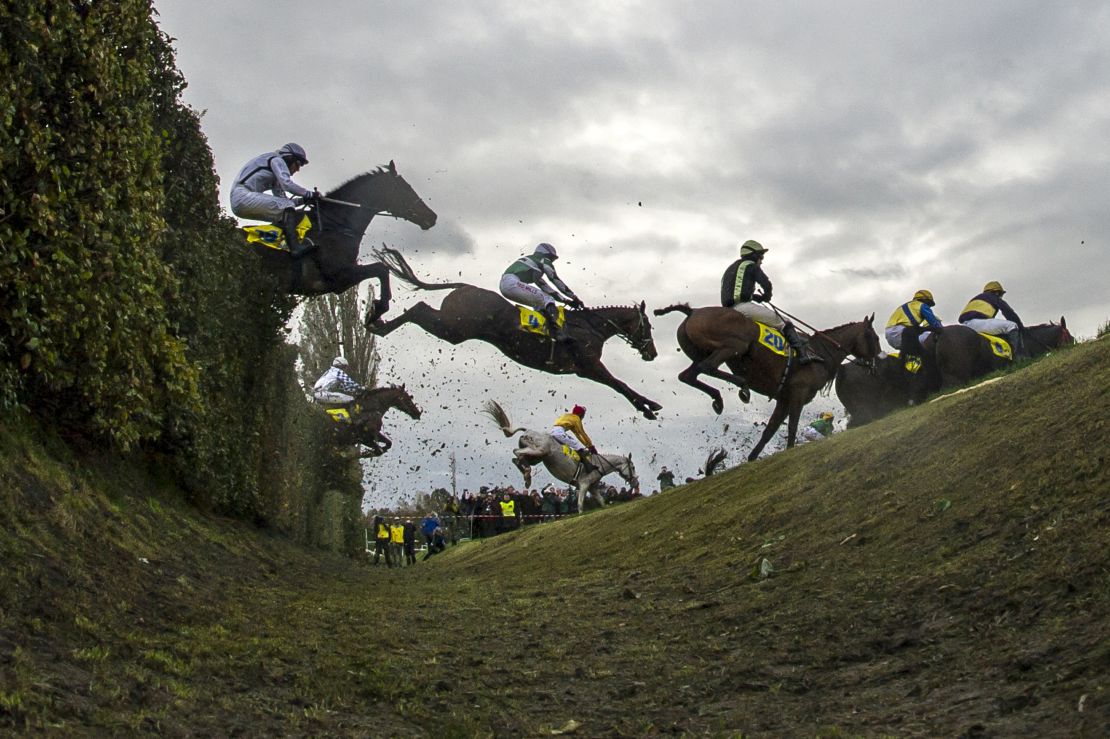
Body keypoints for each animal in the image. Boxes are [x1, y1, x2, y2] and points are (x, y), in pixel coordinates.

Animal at [245, 163, 435, 315]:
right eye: (406, 189)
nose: (432, 216)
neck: (335, 225)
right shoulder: (339, 275)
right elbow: (381, 268)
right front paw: (378, 309)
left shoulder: (341, 281)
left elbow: (381, 269)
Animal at [368, 247, 661, 417]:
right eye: (647, 326)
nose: (653, 353)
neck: (590, 326)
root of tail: (465, 287)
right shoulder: (589, 365)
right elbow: (620, 384)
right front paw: (649, 406)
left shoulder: (585, 370)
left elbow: (619, 385)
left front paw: (648, 406)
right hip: (455, 328)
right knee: (418, 309)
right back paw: (376, 320)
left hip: (452, 328)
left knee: (419, 309)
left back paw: (376, 322)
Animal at [481, 397, 639, 512]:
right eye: (633, 467)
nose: (636, 482)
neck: (598, 464)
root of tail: (528, 431)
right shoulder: (584, 484)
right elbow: (580, 505)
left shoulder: (592, 488)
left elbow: (602, 502)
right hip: (539, 450)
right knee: (517, 452)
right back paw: (526, 473)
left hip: (537, 457)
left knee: (518, 458)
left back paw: (526, 475)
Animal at [652, 301, 879, 457]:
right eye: (875, 338)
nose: (878, 360)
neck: (821, 352)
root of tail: (693, 311)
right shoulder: (797, 394)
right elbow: (792, 426)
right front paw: (789, 450)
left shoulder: (784, 399)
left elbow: (769, 430)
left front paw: (752, 458)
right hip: (733, 346)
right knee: (706, 367)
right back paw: (740, 385)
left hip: (699, 352)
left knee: (688, 375)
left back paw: (718, 398)